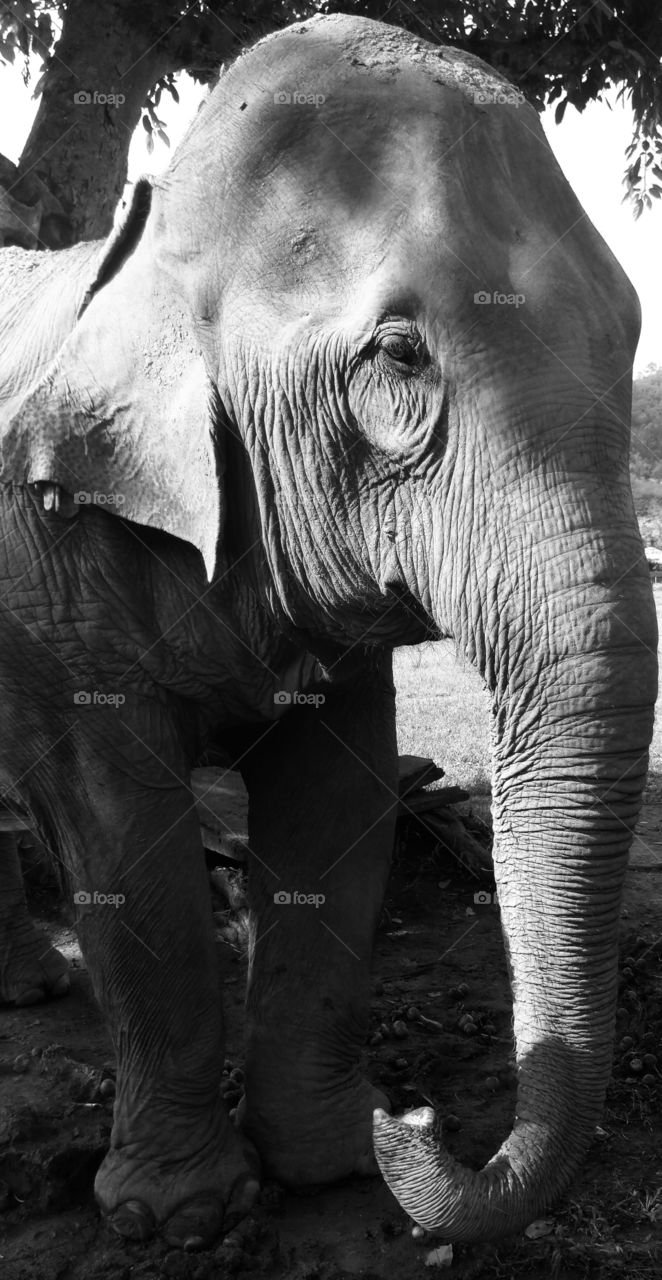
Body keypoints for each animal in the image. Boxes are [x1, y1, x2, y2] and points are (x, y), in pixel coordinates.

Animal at [0, 9, 657, 1251]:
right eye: (398, 355)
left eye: (626, 336)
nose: (418, 1113)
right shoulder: (48, 555)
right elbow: (126, 839)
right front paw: (179, 1217)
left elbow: (340, 806)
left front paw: (334, 1163)